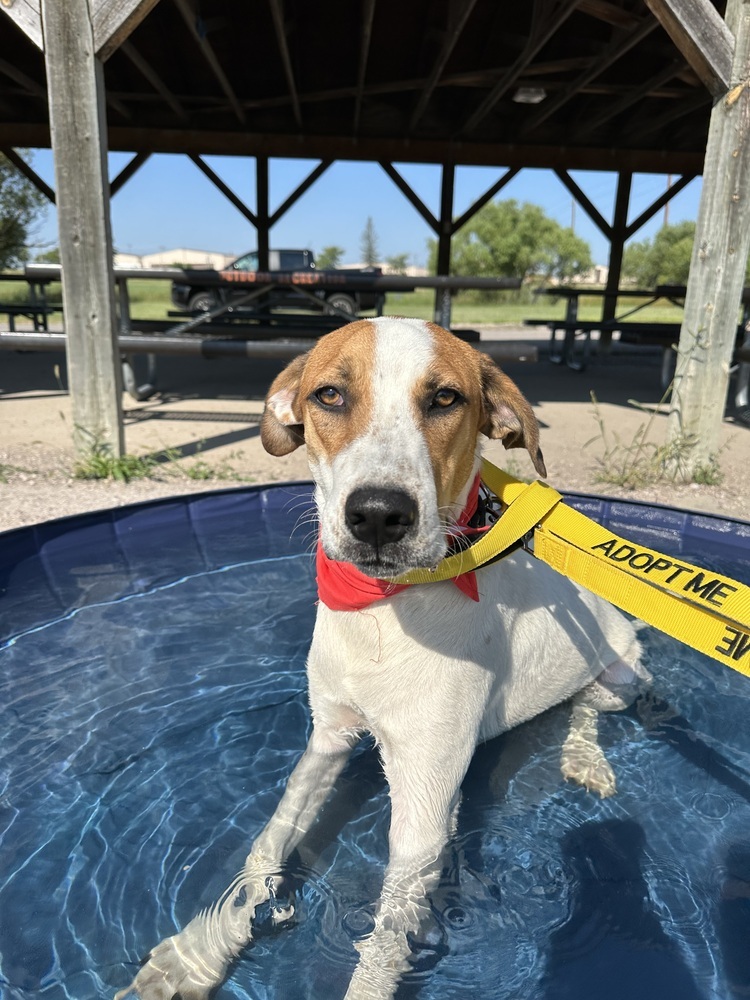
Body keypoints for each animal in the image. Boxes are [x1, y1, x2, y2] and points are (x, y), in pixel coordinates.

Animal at [120, 318, 648, 1000]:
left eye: (446, 398)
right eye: (329, 395)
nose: (377, 514)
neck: (380, 612)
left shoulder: (423, 813)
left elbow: (382, 948)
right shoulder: (328, 738)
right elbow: (265, 847)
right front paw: (197, 953)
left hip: (622, 673)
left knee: (588, 710)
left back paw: (585, 758)